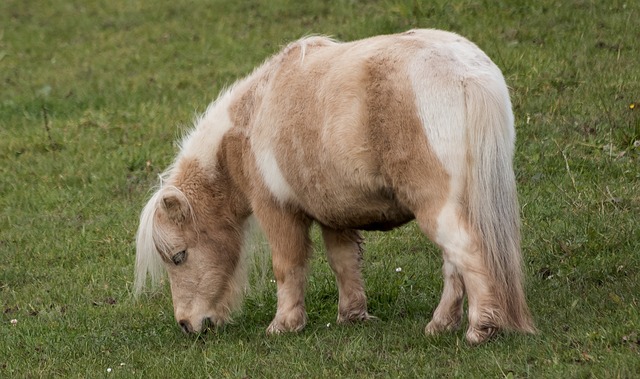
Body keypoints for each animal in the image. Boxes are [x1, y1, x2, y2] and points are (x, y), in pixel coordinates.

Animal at [134, 29, 536, 344]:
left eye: (179, 256)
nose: (186, 325)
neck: (253, 119)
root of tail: (467, 72)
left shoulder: (278, 211)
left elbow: (288, 265)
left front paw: (284, 325)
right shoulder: (334, 214)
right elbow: (344, 263)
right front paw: (352, 316)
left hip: (436, 208)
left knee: (466, 252)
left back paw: (480, 329)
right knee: (454, 265)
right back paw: (440, 325)